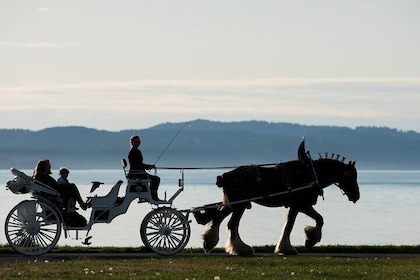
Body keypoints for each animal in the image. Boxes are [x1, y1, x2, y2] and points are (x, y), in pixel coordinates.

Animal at [195, 140, 360, 256]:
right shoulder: (301, 205)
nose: (356, 196)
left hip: (234, 204)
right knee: (232, 224)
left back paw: (209, 243)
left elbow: (293, 223)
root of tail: (224, 176)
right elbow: (312, 221)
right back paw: (241, 249)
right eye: (350, 177)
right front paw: (307, 240)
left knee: (219, 219)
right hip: (239, 205)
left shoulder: (297, 206)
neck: (311, 174)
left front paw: (289, 246)